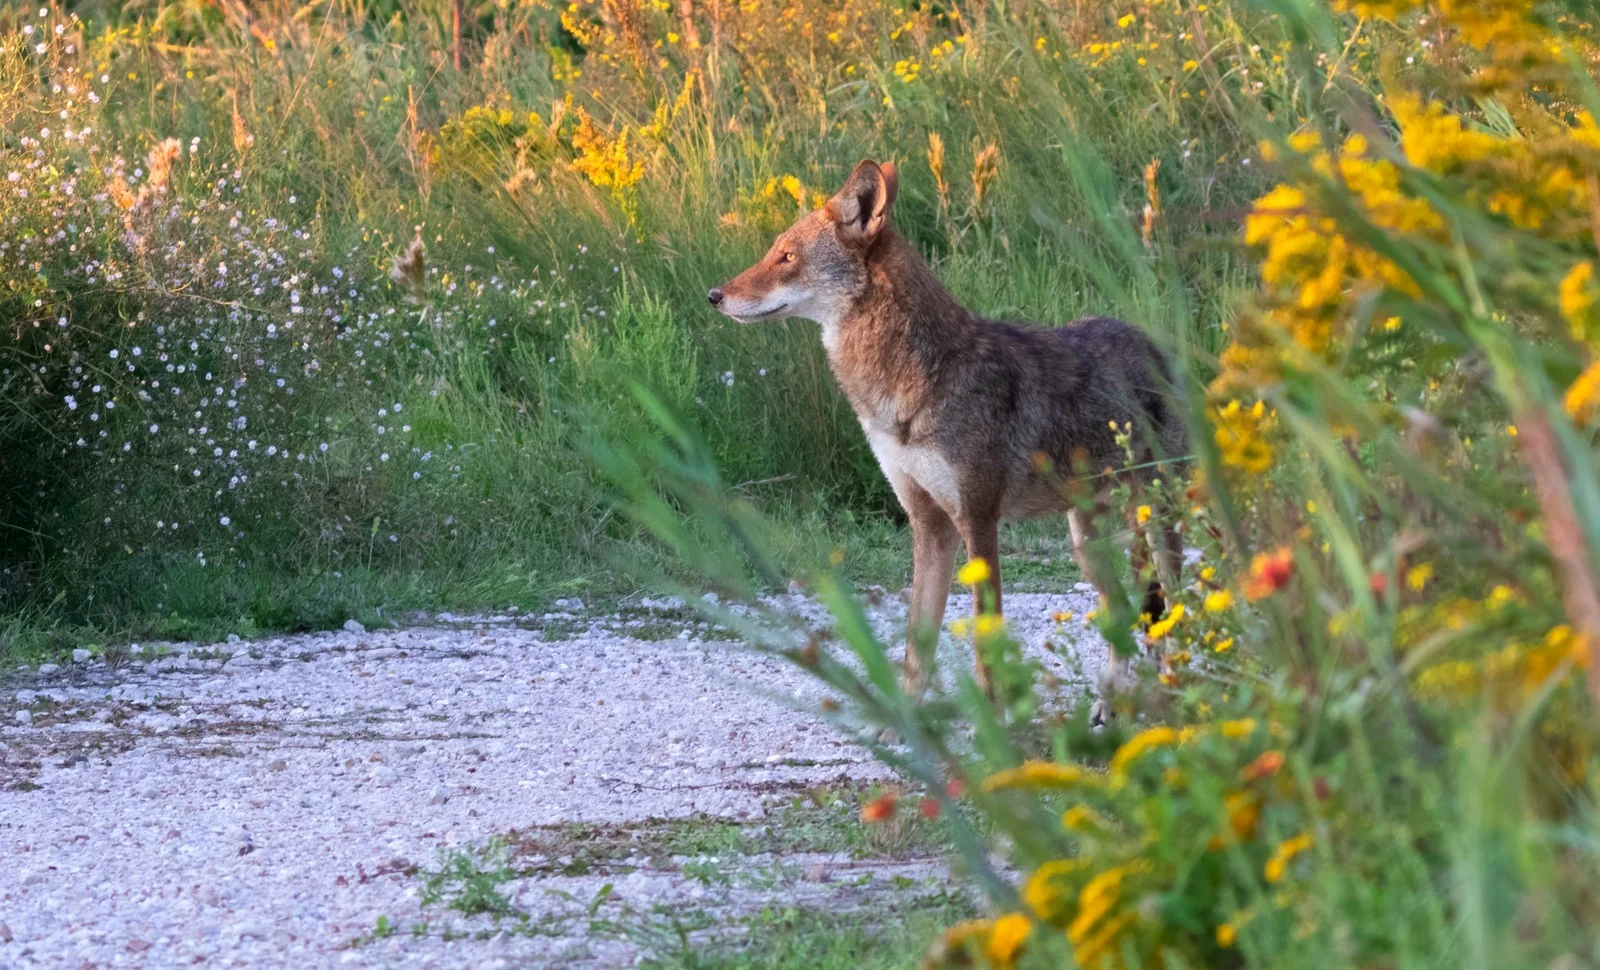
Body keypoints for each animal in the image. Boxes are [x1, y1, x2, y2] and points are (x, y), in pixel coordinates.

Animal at [710, 159, 1186, 695]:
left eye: (787, 256)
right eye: (773, 252)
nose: (714, 295)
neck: (912, 383)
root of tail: (1155, 345)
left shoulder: (978, 521)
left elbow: (986, 652)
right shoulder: (929, 525)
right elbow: (917, 652)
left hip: (1155, 526)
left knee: (1175, 613)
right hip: (1086, 544)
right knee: (1126, 614)